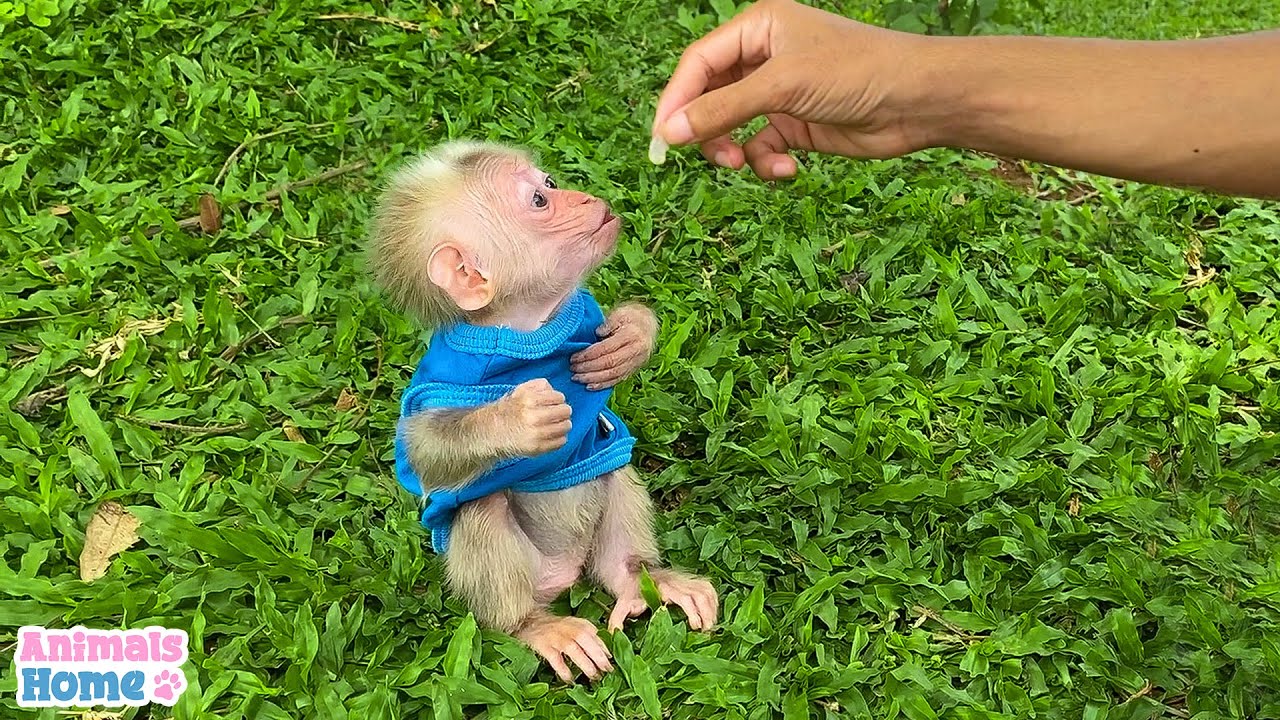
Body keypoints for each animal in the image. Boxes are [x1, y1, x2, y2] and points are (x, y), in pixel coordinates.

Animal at [366, 140, 718, 684]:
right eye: (539, 201)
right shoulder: (445, 376)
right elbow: (421, 453)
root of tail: (564, 571)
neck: (527, 325)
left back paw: (637, 578)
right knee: (482, 509)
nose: (584, 197)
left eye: (549, 184)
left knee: (611, 466)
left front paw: (630, 340)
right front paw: (518, 420)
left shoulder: (581, 312)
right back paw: (533, 624)